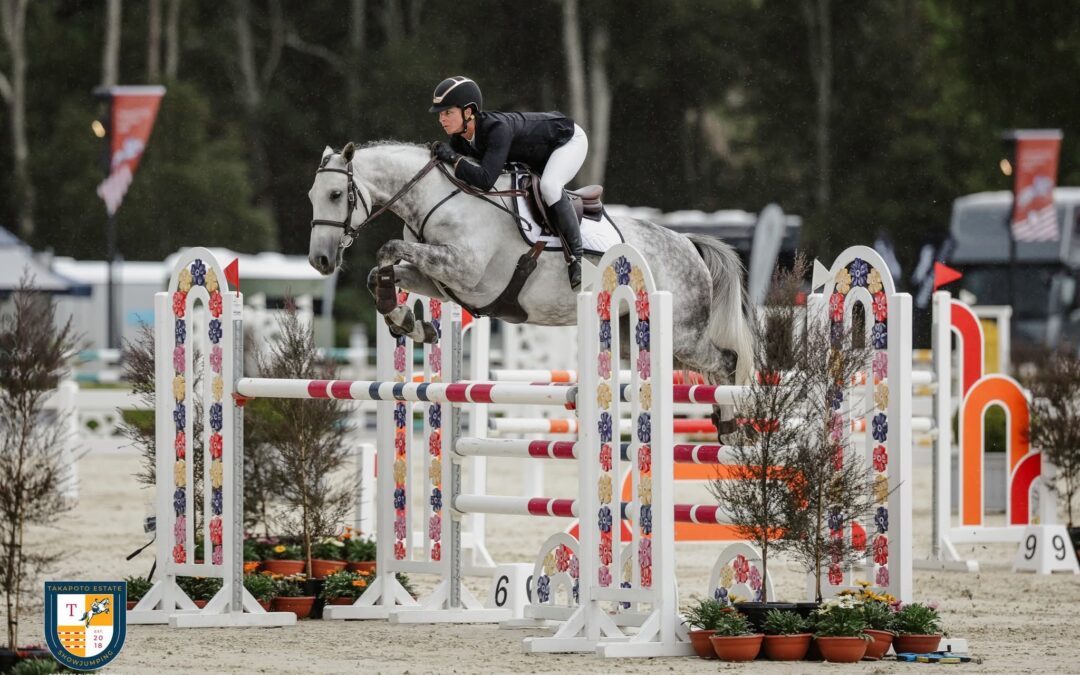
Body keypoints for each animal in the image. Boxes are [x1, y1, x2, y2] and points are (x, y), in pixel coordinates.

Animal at [307, 141, 755, 434]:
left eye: (336, 194)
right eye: (312, 195)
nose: (320, 260)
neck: (439, 198)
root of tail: (688, 244)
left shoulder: (464, 269)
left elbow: (387, 248)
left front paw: (405, 319)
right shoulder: (440, 280)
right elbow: (382, 271)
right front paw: (409, 322)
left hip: (683, 335)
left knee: (727, 361)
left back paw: (730, 422)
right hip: (638, 338)